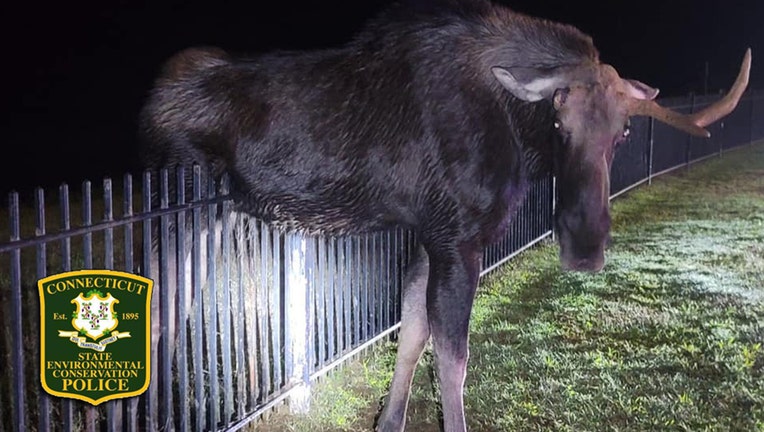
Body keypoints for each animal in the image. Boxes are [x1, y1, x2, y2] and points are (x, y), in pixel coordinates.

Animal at [139, 0, 752, 432]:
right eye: (559, 122)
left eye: (623, 131)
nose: (586, 245)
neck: (516, 130)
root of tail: (153, 103)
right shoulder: (459, 239)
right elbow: (453, 355)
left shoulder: (425, 236)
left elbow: (412, 333)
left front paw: (388, 420)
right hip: (184, 214)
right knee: (164, 312)